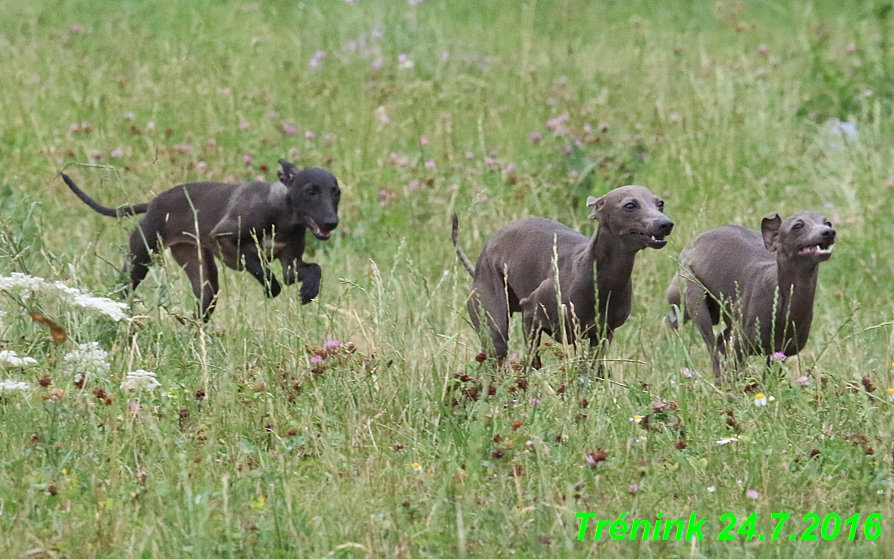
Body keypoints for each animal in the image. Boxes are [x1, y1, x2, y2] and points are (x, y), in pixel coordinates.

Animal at [59, 160, 340, 322]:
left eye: (336, 192)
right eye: (310, 191)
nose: (331, 222)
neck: (282, 214)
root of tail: (152, 204)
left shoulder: (290, 264)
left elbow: (313, 269)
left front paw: (309, 290)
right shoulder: (222, 239)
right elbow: (256, 264)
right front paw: (271, 287)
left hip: (203, 278)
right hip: (140, 259)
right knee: (123, 288)